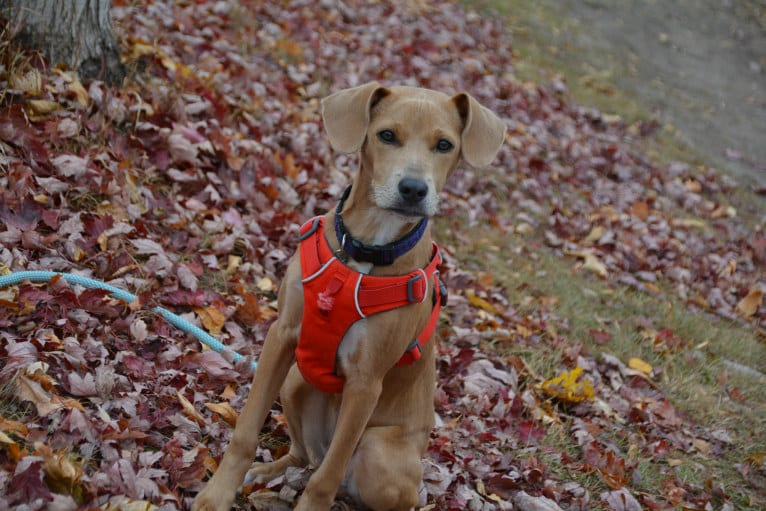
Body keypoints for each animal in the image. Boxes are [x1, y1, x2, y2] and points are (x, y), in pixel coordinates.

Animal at [194, 82, 504, 510]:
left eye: (444, 145)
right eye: (386, 135)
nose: (413, 189)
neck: (364, 249)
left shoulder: (365, 382)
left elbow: (325, 478)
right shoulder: (282, 335)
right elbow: (245, 430)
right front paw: (218, 494)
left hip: (378, 452)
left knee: (339, 475)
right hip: (295, 382)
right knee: (305, 457)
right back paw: (268, 471)